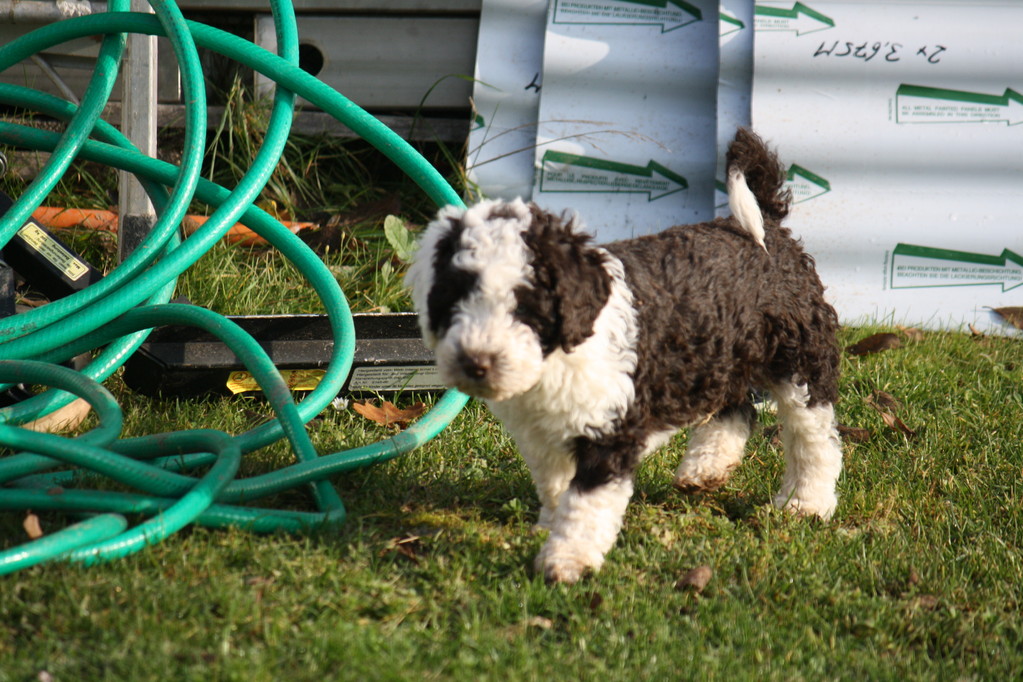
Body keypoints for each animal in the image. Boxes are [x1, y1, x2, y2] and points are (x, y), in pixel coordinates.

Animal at [403, 130, 842, 584]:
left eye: (525, 307)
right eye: (453, 299)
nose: (476, 363)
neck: (557, 355)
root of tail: (767, 225)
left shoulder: (609, 429)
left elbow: (586, 500)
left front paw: (566, 560)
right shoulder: (541, 434)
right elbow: (555, 485)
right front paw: (550, 525)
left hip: (800, 358)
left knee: (814, 435)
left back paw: (805, 503)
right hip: (720, 348)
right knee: (735, 404)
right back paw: (706, 468)